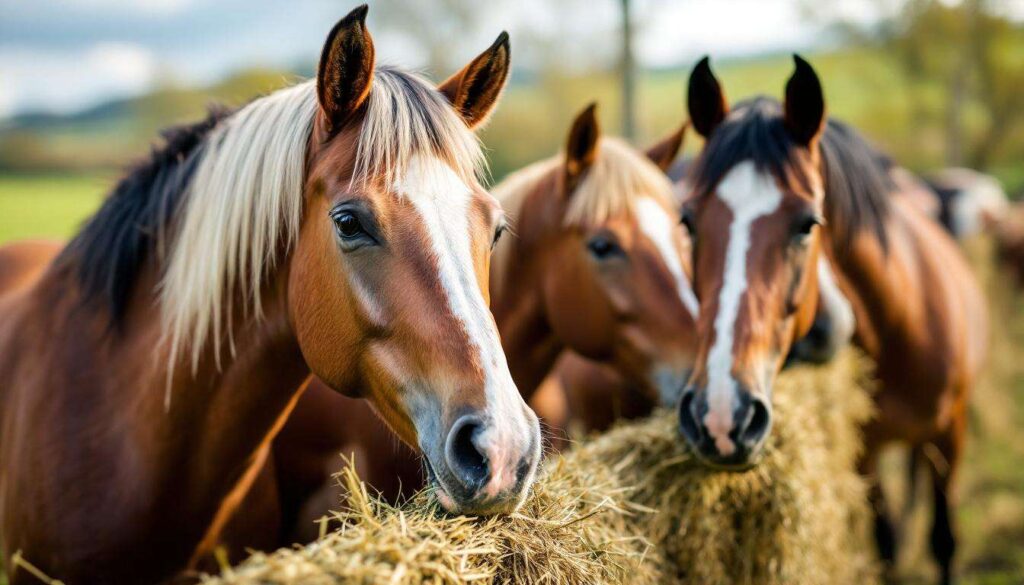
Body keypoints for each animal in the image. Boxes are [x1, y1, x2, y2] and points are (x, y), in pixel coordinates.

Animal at [677, 56, 987, 584]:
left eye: (807, 225)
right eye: (688, 222)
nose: (719, 416)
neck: (899, 329)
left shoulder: (952, 434)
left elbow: (944, 540)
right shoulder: (864, 451)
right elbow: (884, 543)